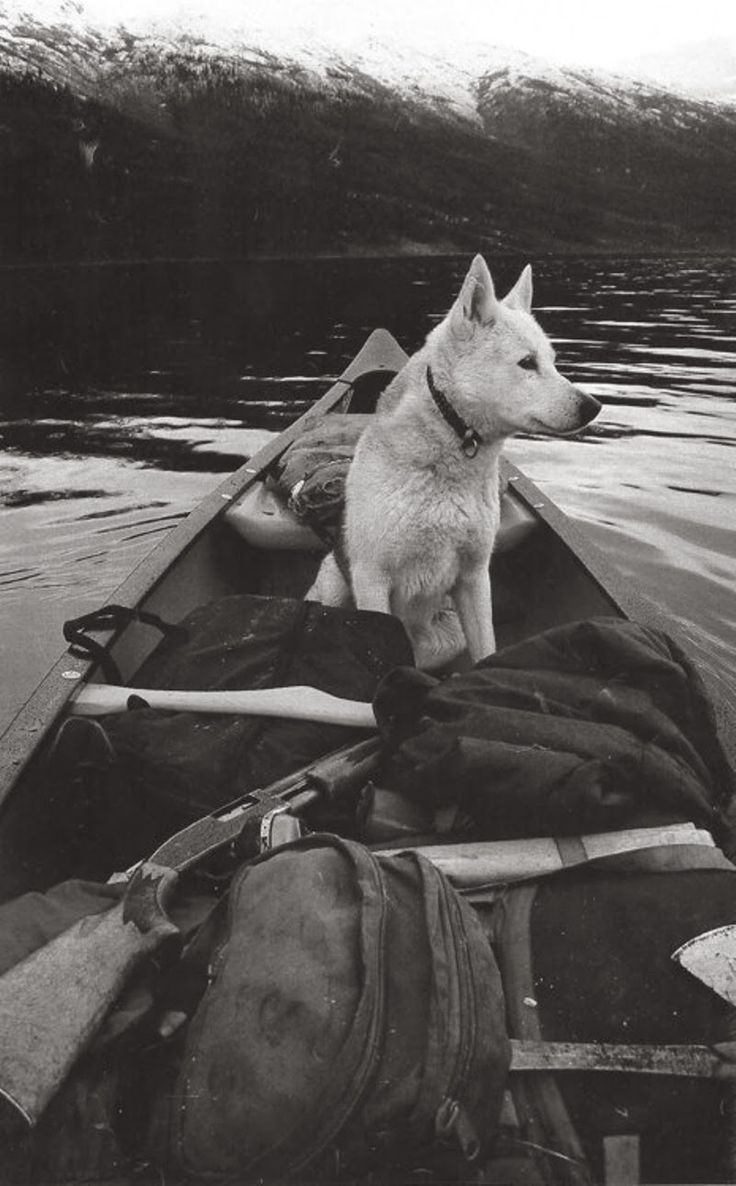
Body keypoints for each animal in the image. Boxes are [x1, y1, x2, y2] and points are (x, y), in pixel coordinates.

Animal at [308, 252, 599, 668]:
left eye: (553, 361)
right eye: (527, 363)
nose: (593, 407)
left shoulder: (474, 577)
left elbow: (486, 647)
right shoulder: (372, 578)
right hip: (335, 584)